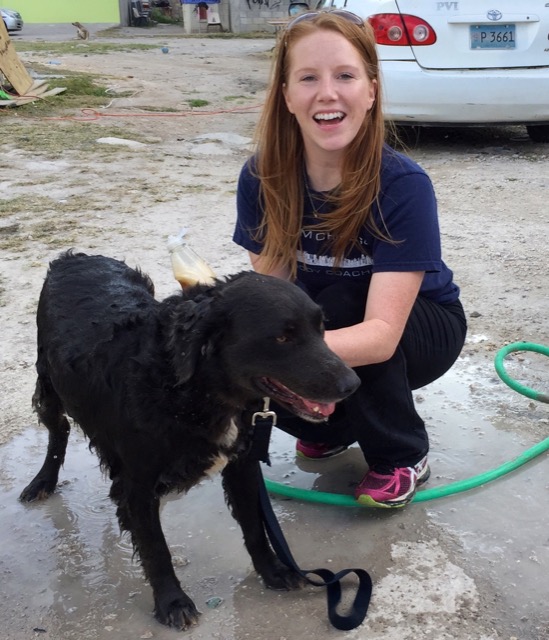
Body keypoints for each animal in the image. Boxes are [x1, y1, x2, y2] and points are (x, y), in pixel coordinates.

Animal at [19, 250, 358, 632]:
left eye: (321, 328)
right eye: (283, 338)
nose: (353, 383)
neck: (192, 389)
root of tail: (75, 256)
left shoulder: (241, 465)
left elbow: (254, 526)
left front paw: (273, 571)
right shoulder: (139, 483)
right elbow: (156, 548)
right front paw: (172, 601)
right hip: (48, 387)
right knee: (58, 431)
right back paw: (42, 482)